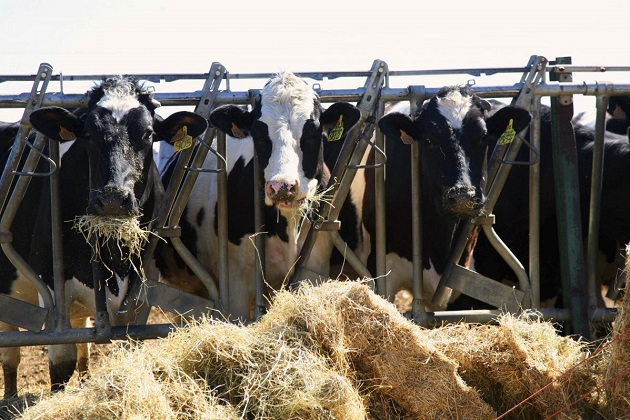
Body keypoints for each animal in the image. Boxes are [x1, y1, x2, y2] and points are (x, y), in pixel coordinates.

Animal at [0, 77, 210, 398]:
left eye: (148, 133)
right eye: (88, 133)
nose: (112, 199)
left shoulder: (143, 285)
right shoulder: (51, 280)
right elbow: (61, 362)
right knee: (11, 353)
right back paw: (10, 397)